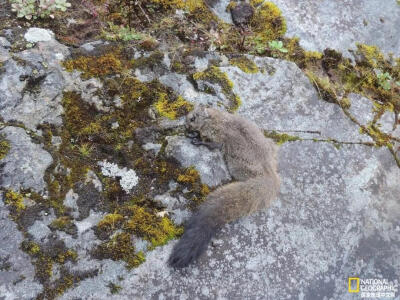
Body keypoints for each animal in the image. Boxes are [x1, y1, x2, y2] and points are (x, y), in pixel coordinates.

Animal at [167, 105, 280, 268]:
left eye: (192, 118)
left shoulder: (218, 136)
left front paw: (197, 139)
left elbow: (214, 144)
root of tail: (270, 175)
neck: (216, 118)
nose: (185, 125)